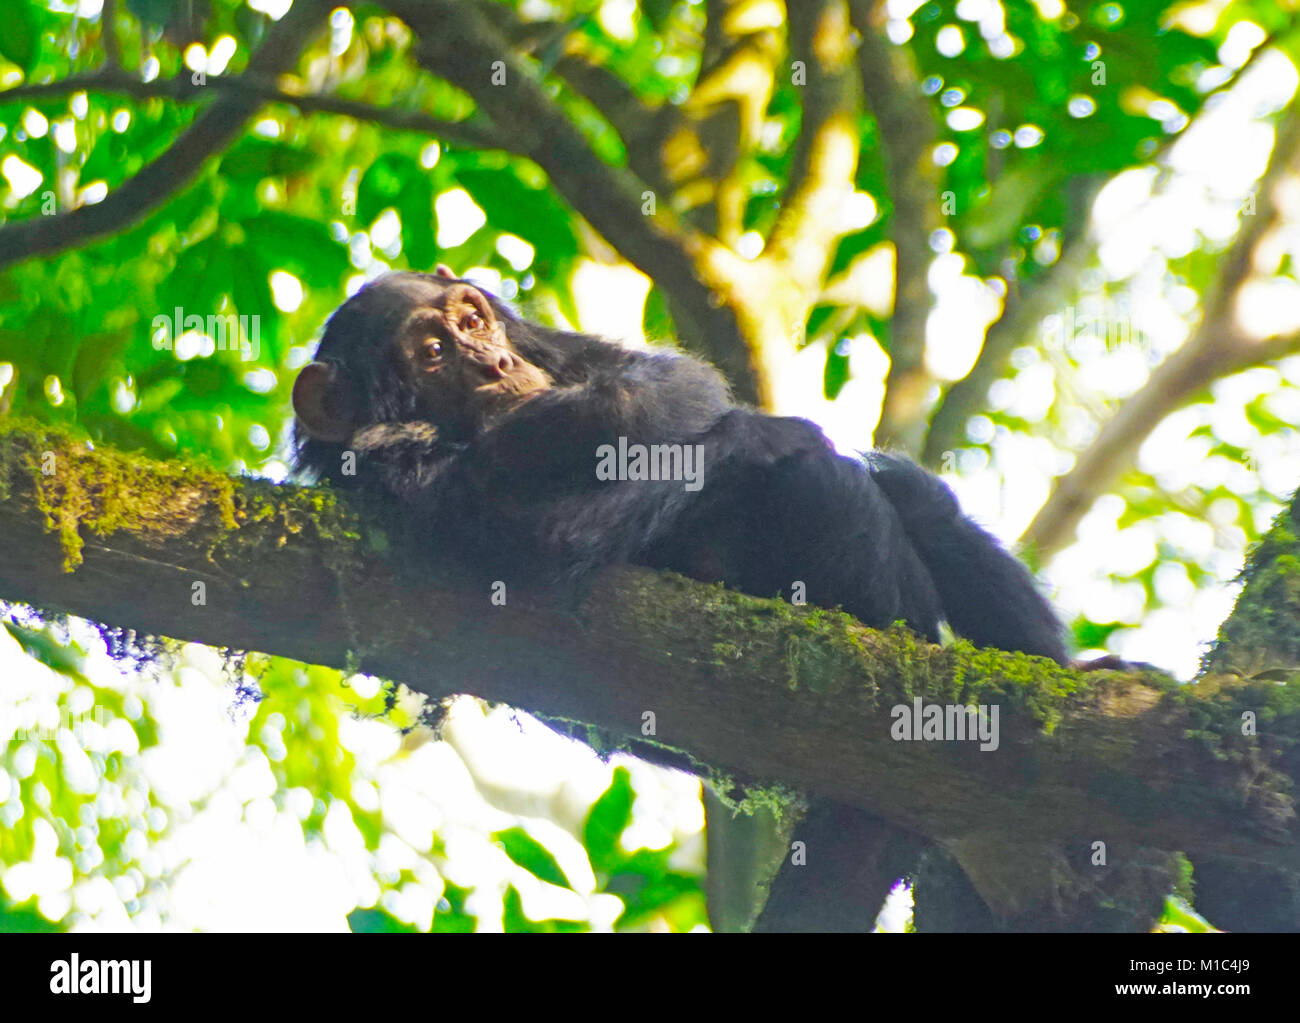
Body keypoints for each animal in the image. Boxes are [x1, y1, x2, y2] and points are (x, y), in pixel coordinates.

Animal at [292, 267, 1066, 662]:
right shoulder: (404, 471)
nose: (495, 363)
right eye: (433, 353)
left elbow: (665, 381)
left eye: (473, 321)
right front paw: (765, 433)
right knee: (831, 484)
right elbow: (550, 536)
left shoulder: (553, 345)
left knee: (915, 499)